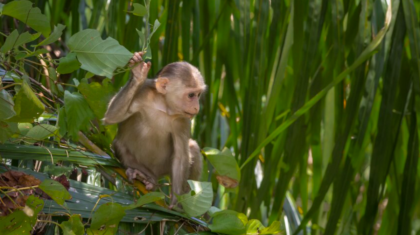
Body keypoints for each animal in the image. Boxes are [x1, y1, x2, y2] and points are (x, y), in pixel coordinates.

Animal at [103, 51, 205, 206]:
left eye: (198, 95)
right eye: (191, 95)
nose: (196, 107)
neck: (164, 106)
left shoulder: (183, 120)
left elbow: (180, 157)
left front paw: (175, 204)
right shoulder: (143, 92)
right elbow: (112, 117)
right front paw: (138, 74)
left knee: (192, 147)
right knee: (118, 144)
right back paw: (144, 176)